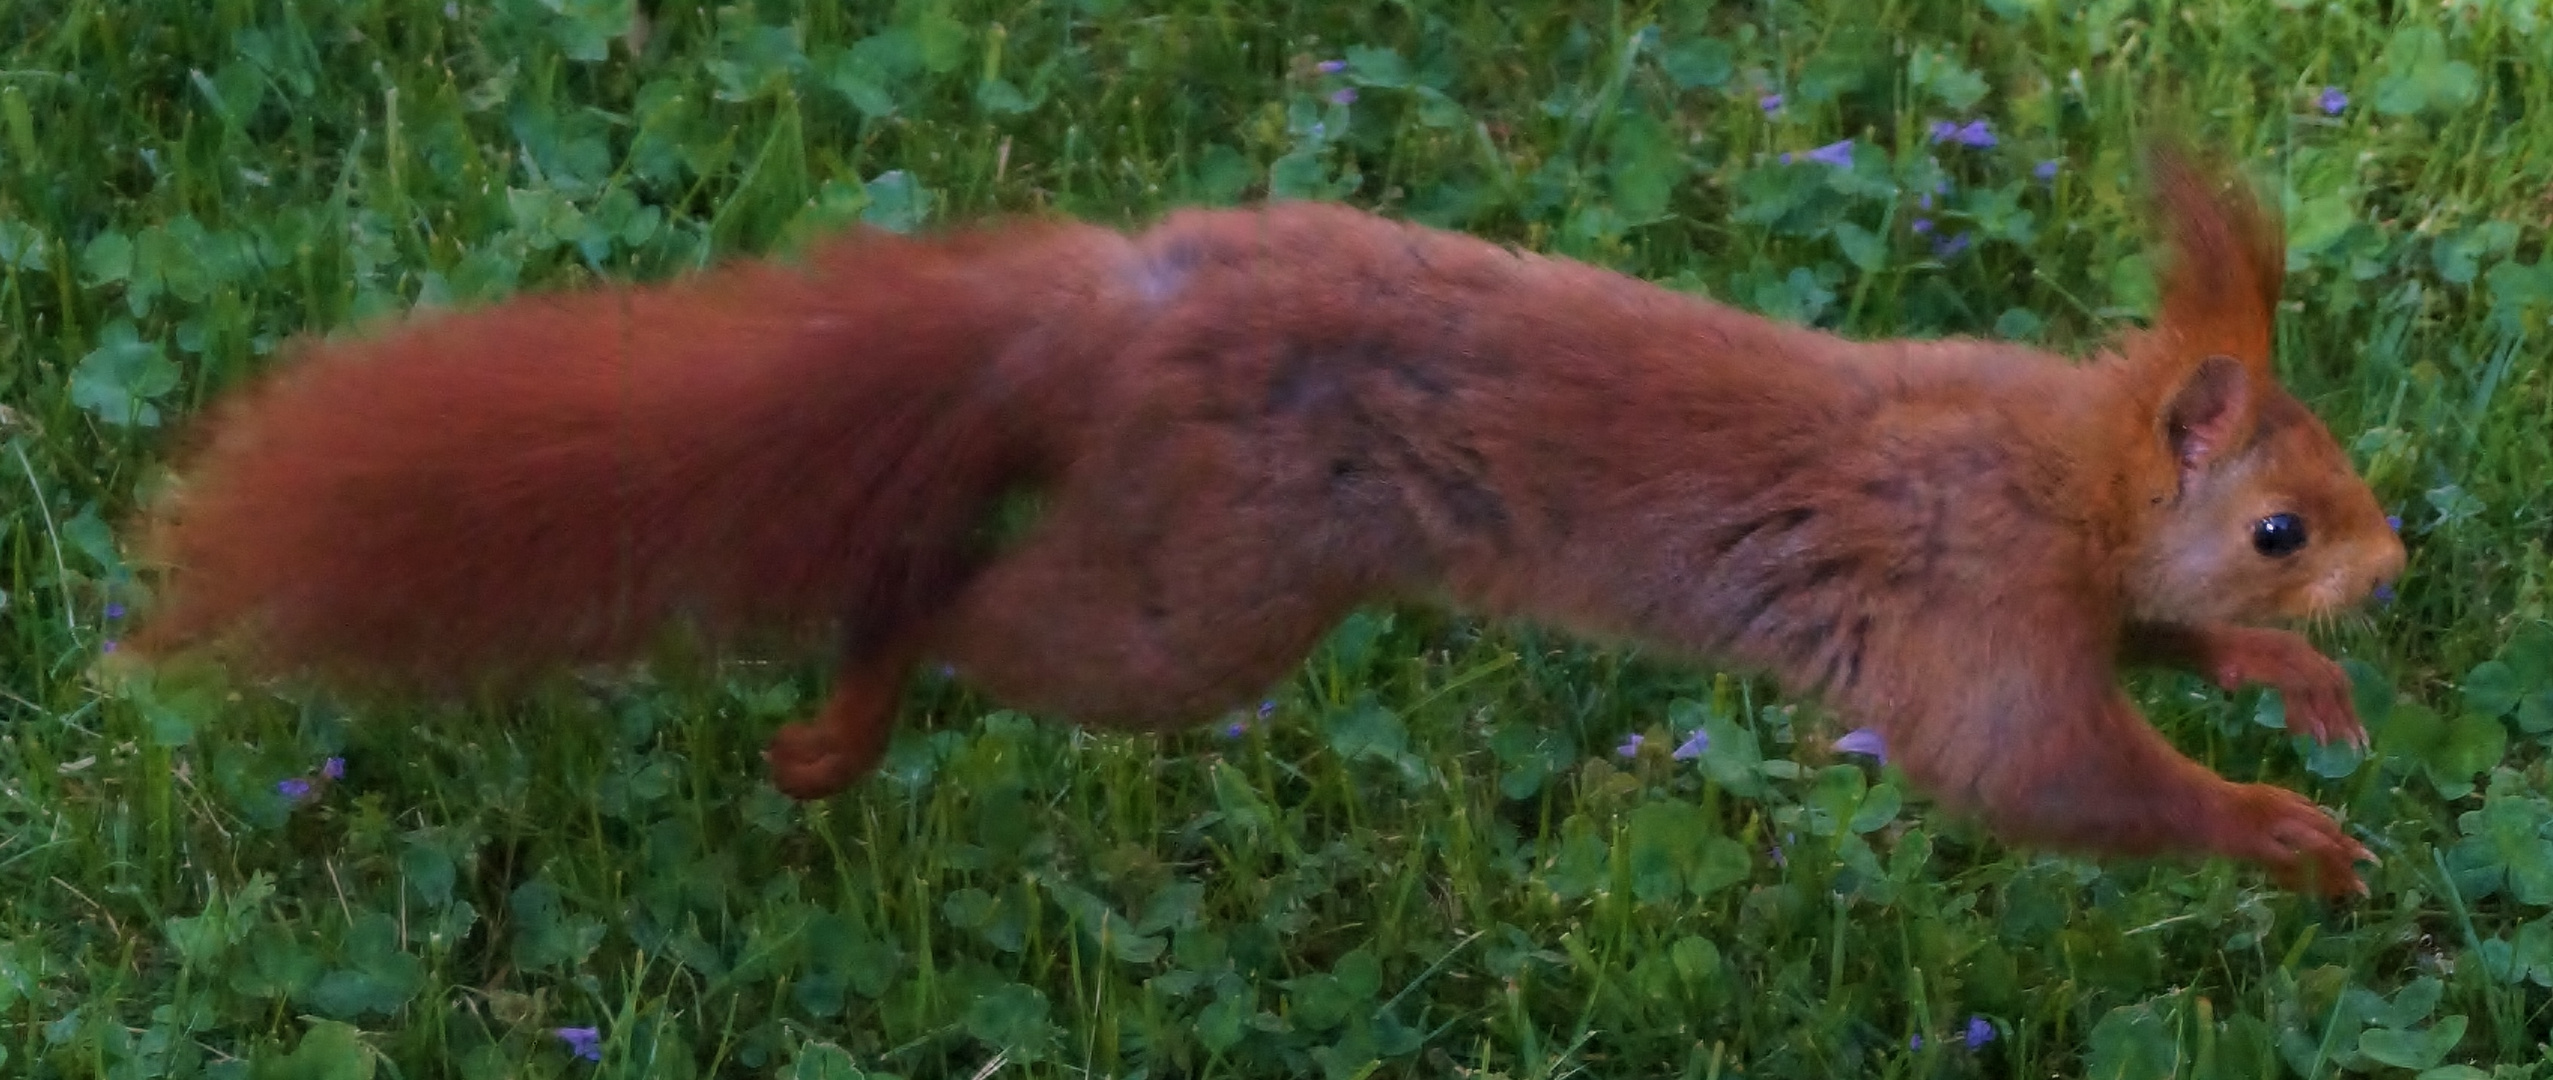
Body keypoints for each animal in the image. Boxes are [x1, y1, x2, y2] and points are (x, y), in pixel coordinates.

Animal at [134, 148, 2410, 898]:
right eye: (2286, 517)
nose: (2391, 571)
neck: (2060, 458)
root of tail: (1118, 311)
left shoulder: (2056, 594)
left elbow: (2143, 661)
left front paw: (2289, 699)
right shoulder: (1967, 609)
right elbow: (2037, 770)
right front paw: (2279, 833)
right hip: (1188, 611)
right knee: (955, 601)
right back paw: (847, 711)